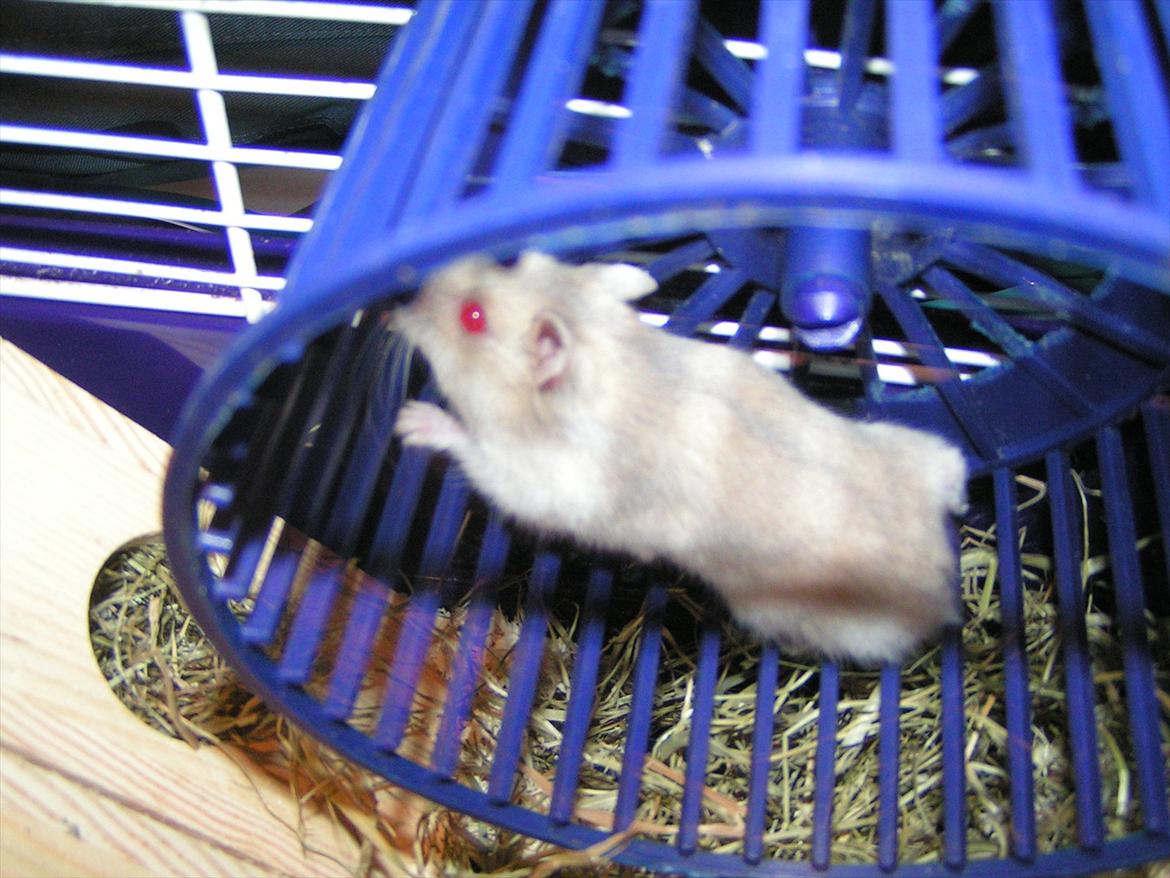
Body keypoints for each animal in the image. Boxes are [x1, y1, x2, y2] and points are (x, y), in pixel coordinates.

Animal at [391, 251, 967, 665]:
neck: (611, 351)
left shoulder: (533, 481)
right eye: (511, 263)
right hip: (920, 448)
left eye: (472, 318)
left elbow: (472, 449)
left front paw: (412, 420)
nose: (404, 294)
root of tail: (941, 574)